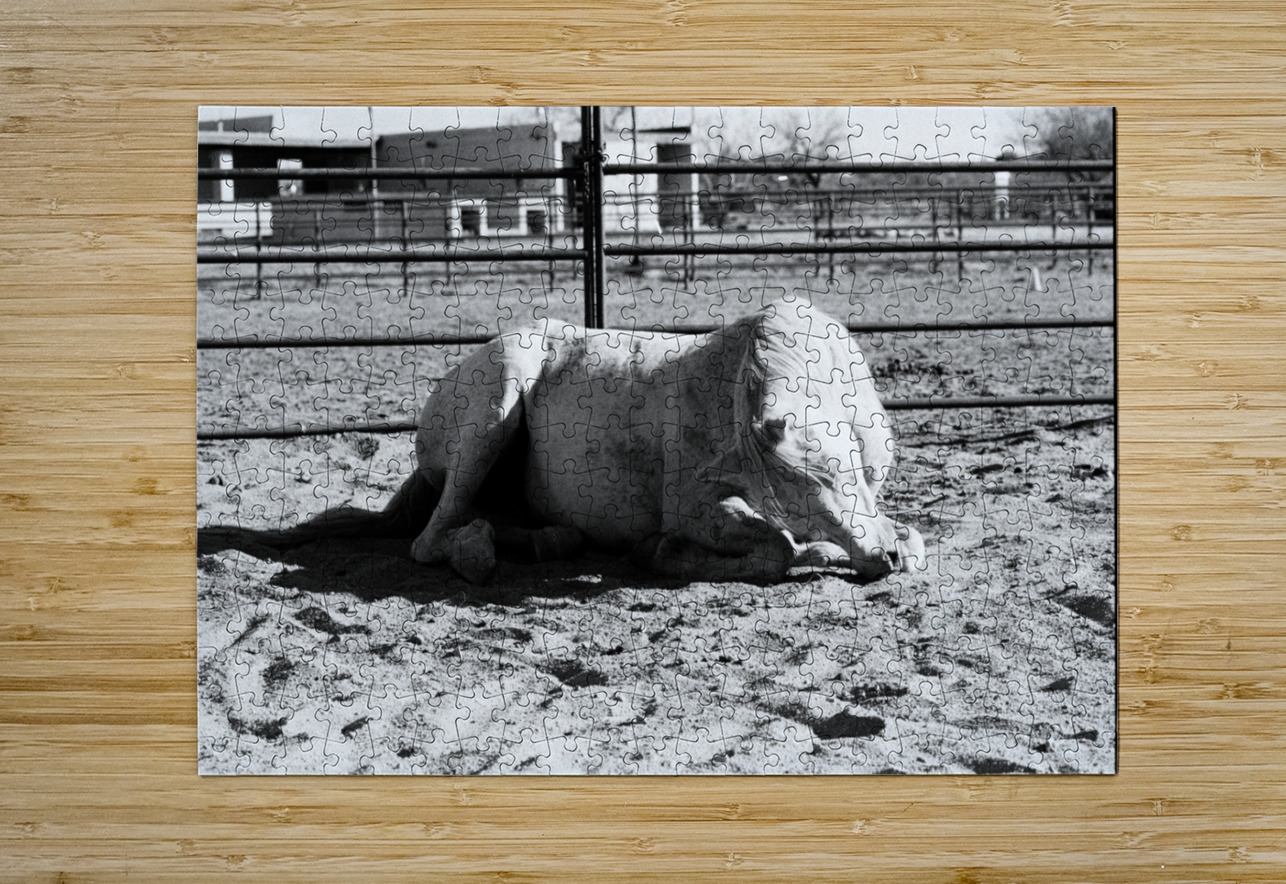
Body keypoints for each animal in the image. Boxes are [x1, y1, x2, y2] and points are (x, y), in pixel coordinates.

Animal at [265, 299, 924, 584]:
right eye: (798, 489)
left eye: (850, 474)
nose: (881, 560)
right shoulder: (696, 507)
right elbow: (777, 549)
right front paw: (661, 554)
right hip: (495, 404)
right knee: (430, 540)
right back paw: (479, 551)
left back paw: (545, 541)